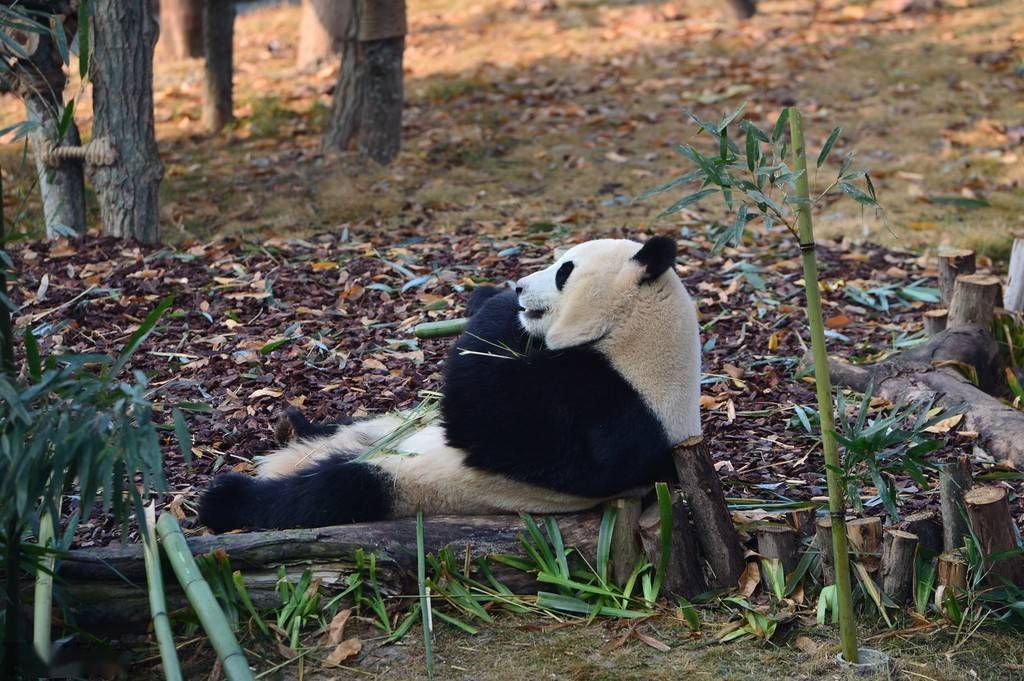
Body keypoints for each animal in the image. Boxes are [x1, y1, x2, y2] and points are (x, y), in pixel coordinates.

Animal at [195, 236, 700, 532]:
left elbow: (501, 429)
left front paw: (495, 308)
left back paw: (227, 500)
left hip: (413, 484)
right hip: (384, 430)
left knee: (328, 492)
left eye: (564, 271)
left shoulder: (618, 408)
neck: (632, 334)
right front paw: (489, 299)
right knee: (340, 433)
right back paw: (292, 428)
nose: (520, 287)